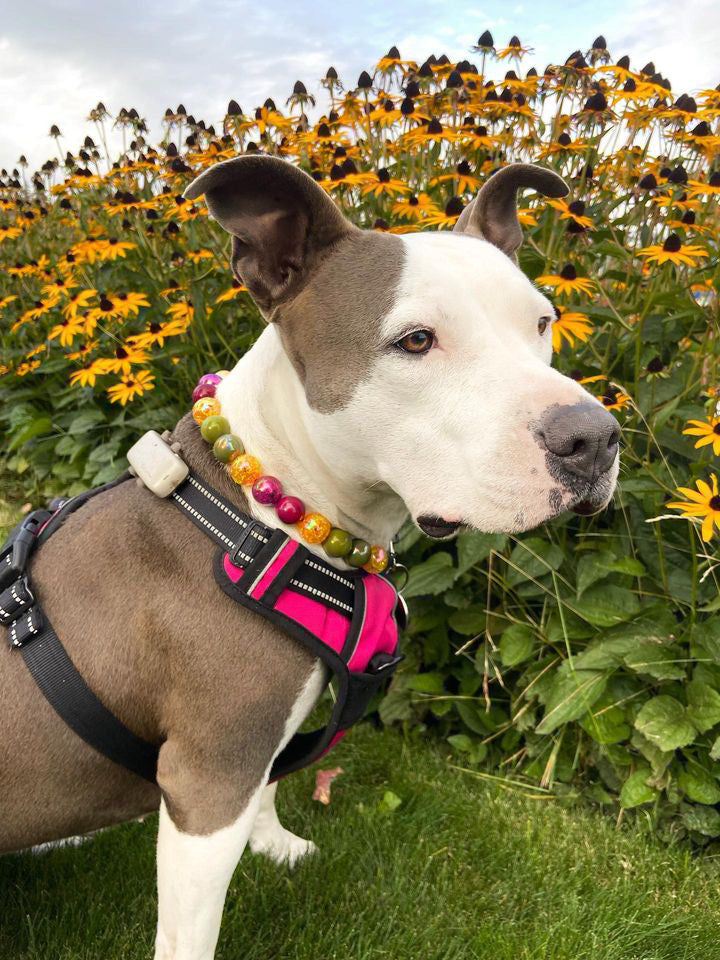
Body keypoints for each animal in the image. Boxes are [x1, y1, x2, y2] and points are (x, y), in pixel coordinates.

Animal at [0, 158, 620, 960]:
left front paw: (274, 845)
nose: (594, 439)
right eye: (415, 341)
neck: (266, 513)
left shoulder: (258, 751)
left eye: (541, 322)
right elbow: (190, 932)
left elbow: (271, 785)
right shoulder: (208, 781)